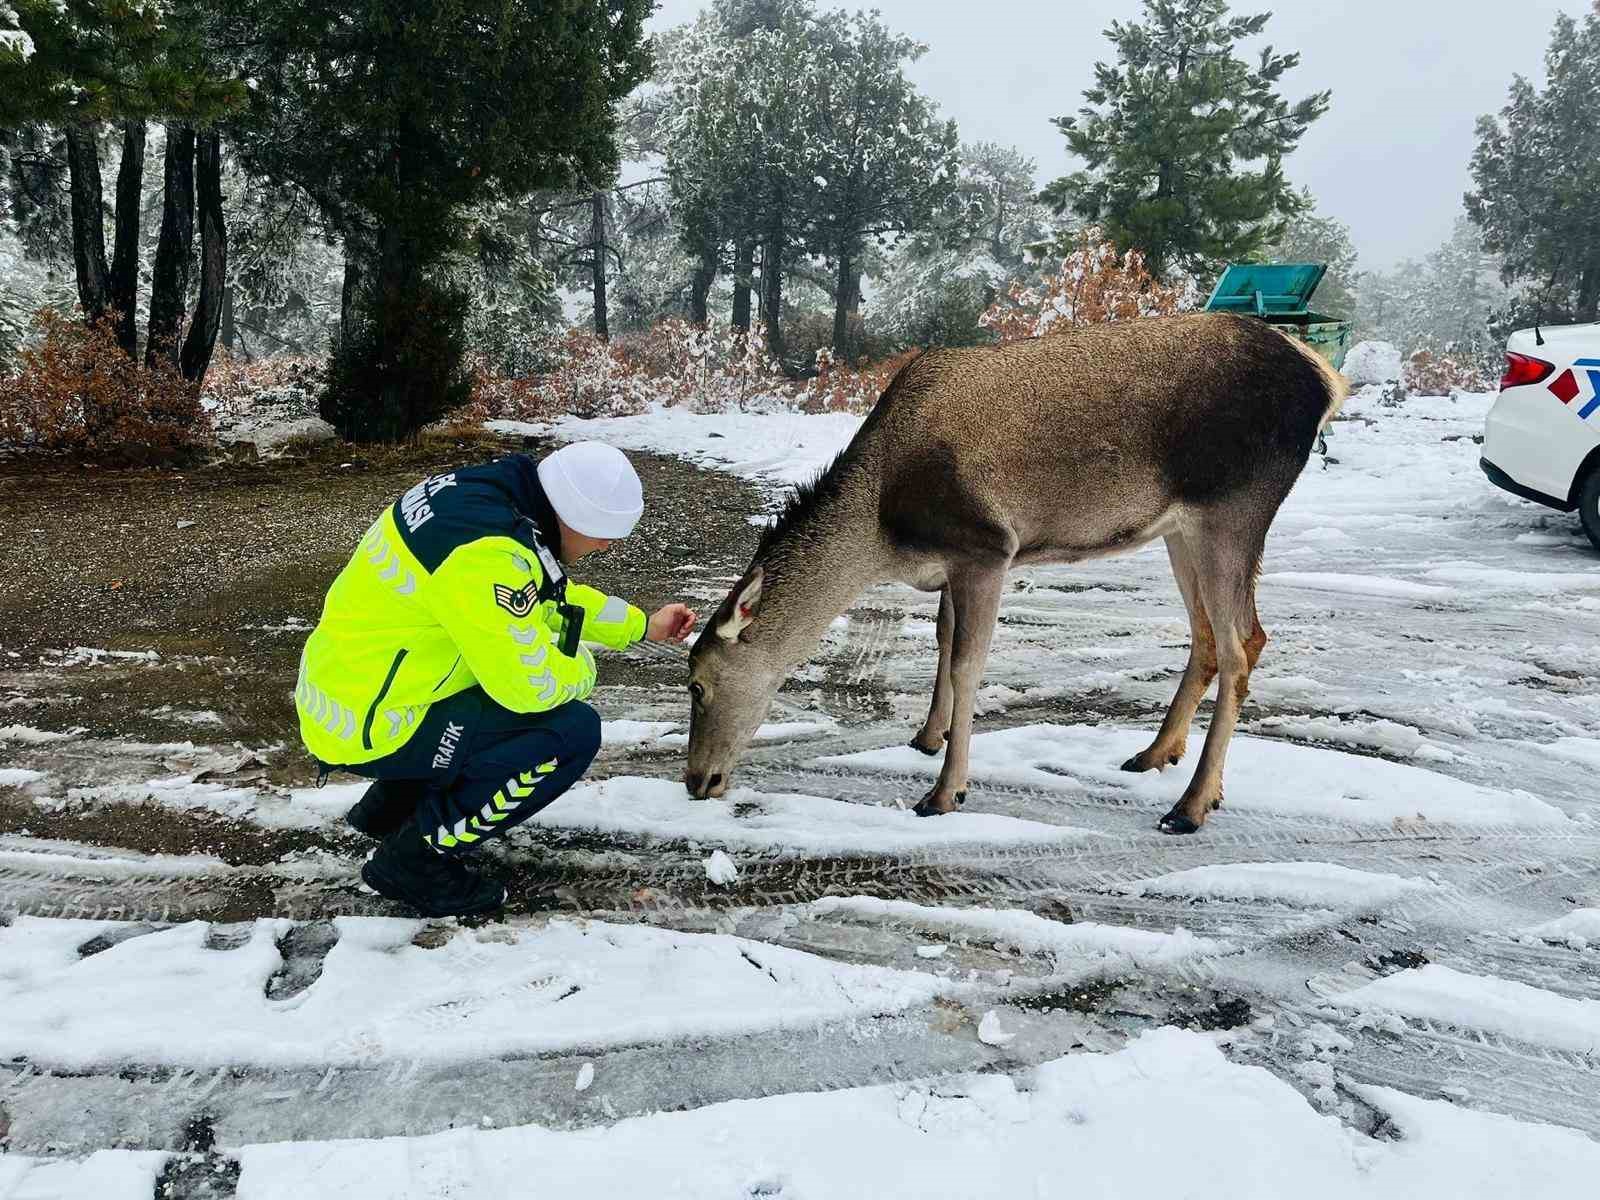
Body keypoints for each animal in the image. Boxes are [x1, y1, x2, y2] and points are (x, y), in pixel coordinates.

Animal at [681, 310, 1344, 838]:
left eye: (698, 685)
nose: (695, 781)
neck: (883, 532)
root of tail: (1325, 380)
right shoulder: (950, 564)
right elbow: (944, 643)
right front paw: (927, 738)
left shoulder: (988, 547)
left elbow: (968, 664)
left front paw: (945, 792)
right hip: (1179, 529)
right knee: (1208, 636)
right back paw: (1155, 753)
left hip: (1233, 508)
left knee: (1243, 644)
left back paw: (1192, 804)